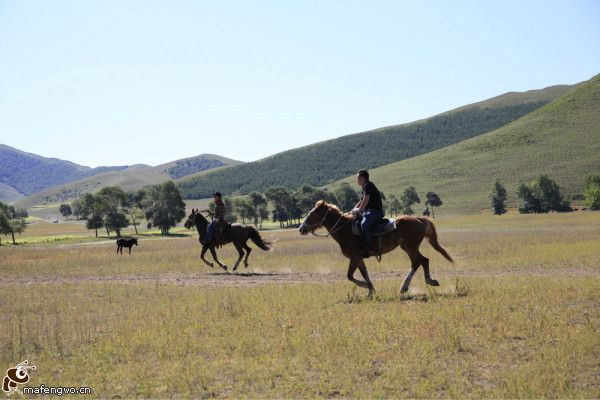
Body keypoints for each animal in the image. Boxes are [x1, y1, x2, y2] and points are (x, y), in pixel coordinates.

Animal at [298, 200, 452, 296]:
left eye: (312, 213)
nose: (301, 228)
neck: (346, 230)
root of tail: (418, 219)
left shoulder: (354, 257)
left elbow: (350, 276)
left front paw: (365, 287)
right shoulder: (359, 259)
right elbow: (364, 274)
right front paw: (370, 290)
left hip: (411, 247)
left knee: (422, 261)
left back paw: (425, 282)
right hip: (407, 247)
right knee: (418, 262)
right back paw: (407, 286)